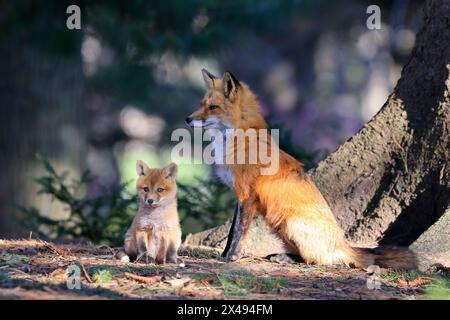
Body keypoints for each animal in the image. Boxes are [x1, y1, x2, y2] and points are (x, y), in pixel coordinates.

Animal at [185, 69, 416, 268]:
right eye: (201, 104)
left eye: (213, 107)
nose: (187, 119)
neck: (239, 140)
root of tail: (343, 244)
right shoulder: (239, 197)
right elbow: (233, 231)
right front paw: (224, 254)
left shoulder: (246, 196)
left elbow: (239, 232)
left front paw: (232, 257)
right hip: (279, 226)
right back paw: (281, 256)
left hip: (290, 222)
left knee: (317, 260)